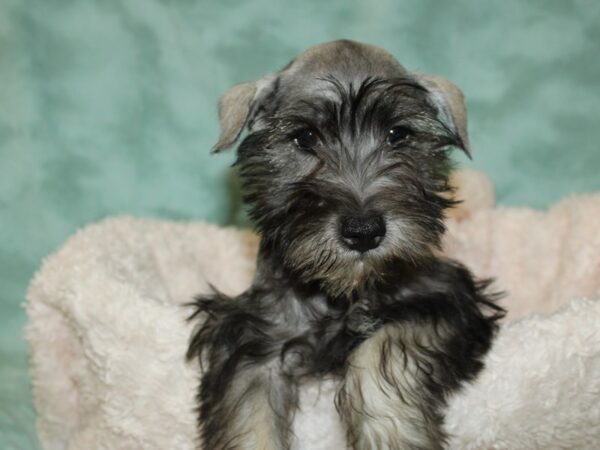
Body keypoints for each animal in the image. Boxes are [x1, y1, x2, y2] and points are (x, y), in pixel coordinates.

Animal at [186, 40, 502, 448]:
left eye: (398, 134)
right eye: (305, 137)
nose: (364, 231)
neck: (343, 292)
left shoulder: (442, 298)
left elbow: (381, 349)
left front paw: (393, 436)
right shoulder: (253, 338)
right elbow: (248, 418)